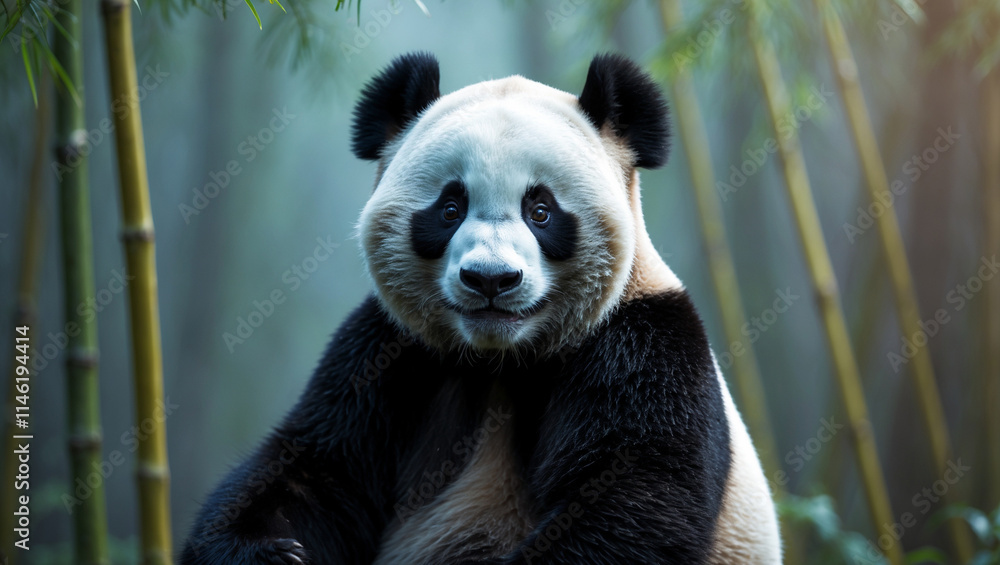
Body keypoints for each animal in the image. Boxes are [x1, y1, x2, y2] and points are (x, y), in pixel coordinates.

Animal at [180, 52, 781, 564]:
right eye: (450, 207)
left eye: (541, 210)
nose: (491, 278)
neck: (501, 358)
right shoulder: (388, 351)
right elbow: (317, 468)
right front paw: (265, 551)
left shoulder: (642, 343)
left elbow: (633, 500)